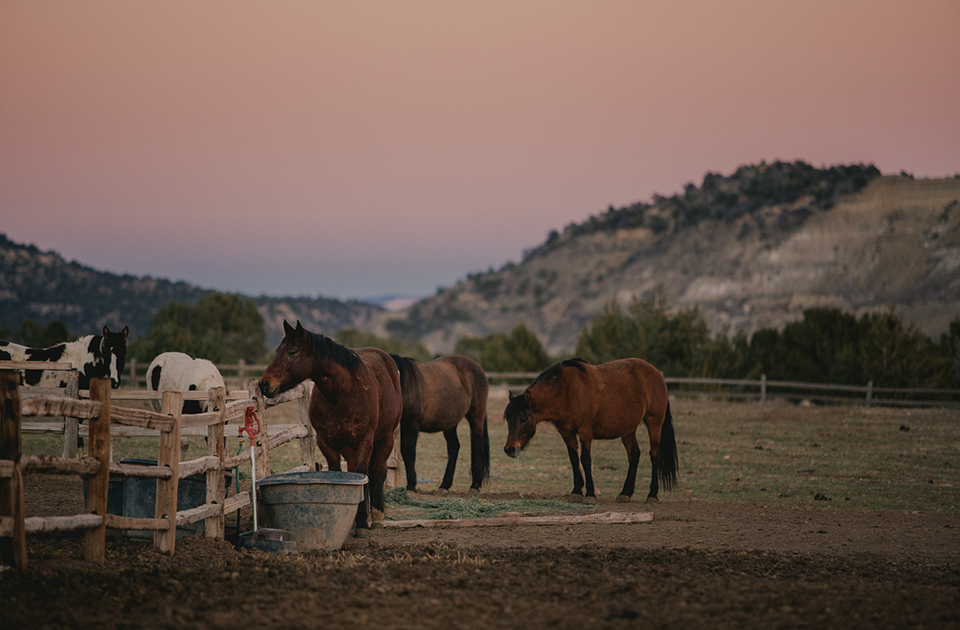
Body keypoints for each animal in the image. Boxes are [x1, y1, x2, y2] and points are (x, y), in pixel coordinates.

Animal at [256, 324, 404, 536]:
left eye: (292, 352)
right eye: (277, 351)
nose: (264, 383)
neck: (344, 392)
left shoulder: (364, 441)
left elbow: (363, 473)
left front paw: (361, 522)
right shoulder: (327, 443)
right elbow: (340, 475)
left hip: (385, 438)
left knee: (378, 472)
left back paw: (376, 517)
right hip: (349, 447)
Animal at [390, 354, 492, 496]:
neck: (403, 383)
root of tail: (478, 369)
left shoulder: (411, 425)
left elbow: (408, 451)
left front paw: (411, 485)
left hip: (476, 417)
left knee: (477, 447)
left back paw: (475, 486)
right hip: (450, 424)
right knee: (454, 447)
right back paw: (445, 485)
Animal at [502, 358, 676, 506]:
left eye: (524, 419)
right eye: (508, 419)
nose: (510, 449)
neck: (566, 390)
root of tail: (657, 374)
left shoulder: (585, 432)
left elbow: (585, 459)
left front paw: (590, 494)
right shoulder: (567, 433)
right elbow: (573, 459)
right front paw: (576, 492)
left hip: (654, 423)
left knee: (654, 456)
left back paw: (652, 495)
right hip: (628, 430)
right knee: (634, 455)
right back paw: (625, 493)